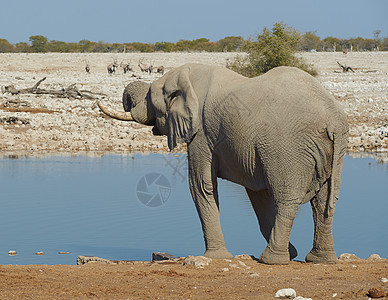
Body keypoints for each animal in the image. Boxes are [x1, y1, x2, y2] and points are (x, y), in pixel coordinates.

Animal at [97, 63, 348, 264]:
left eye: (150, 97)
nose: (99, 98)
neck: (188, 77)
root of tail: (334, 119)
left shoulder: (201, 134)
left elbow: (200, 185)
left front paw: (215, 257)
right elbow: (257, 193)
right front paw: (292, 252)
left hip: (286, 147)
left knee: (288, 199)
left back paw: (272, 260)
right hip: (329, 151)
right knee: (324, 202)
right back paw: (320, 259)